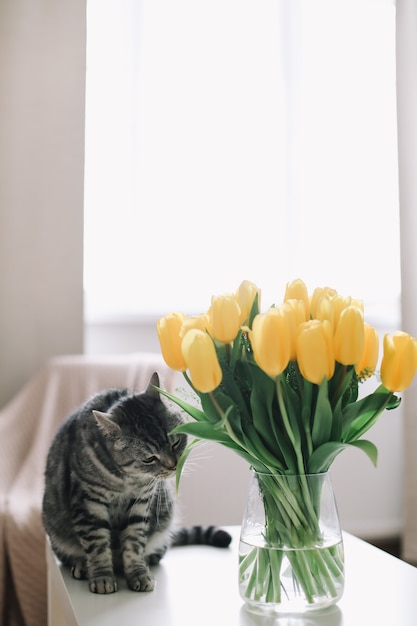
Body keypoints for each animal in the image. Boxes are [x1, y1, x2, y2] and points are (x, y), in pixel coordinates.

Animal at [41, 372, 231, 592]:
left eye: (175, 443)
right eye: (149, 458)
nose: (173, 466)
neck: (127, 480)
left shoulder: (140, 504)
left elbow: (134, 543)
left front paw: (138, 573)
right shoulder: (89, 503)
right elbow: (97, 545)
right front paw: (102, 576)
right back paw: (83, 566)